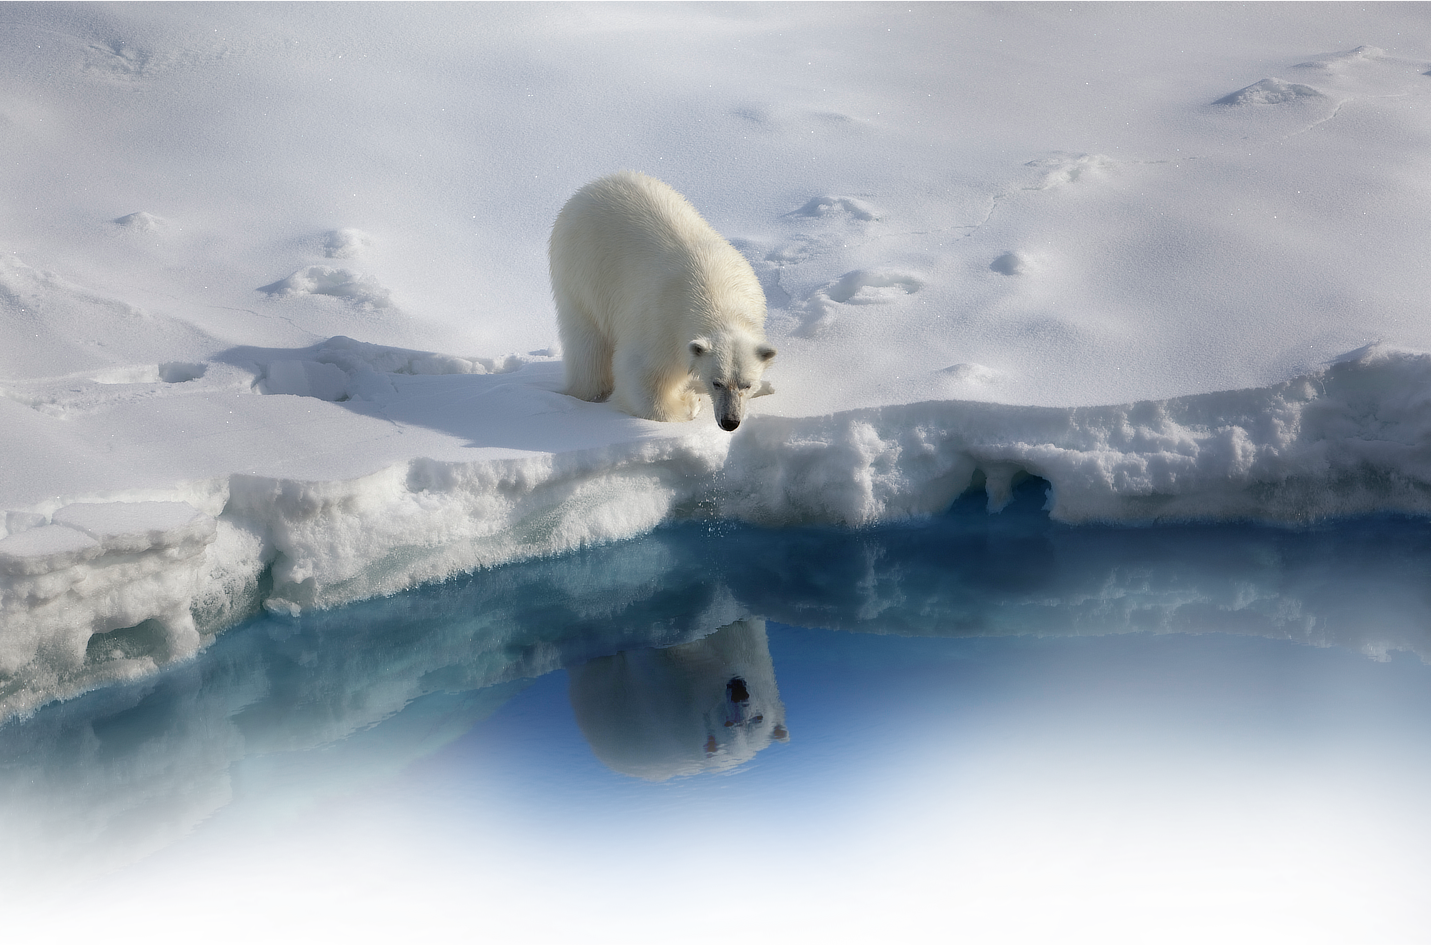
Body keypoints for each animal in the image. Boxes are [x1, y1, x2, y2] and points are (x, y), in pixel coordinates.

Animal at [549, 171, 776, 431]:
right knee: (588, 344)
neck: (718, 299)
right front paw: (690, 402)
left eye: (746, 384)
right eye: (716, 382)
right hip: (583, 273)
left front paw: (765, 387)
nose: (730, 422)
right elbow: (640, 375)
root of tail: (590, 187)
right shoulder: (663, 325)